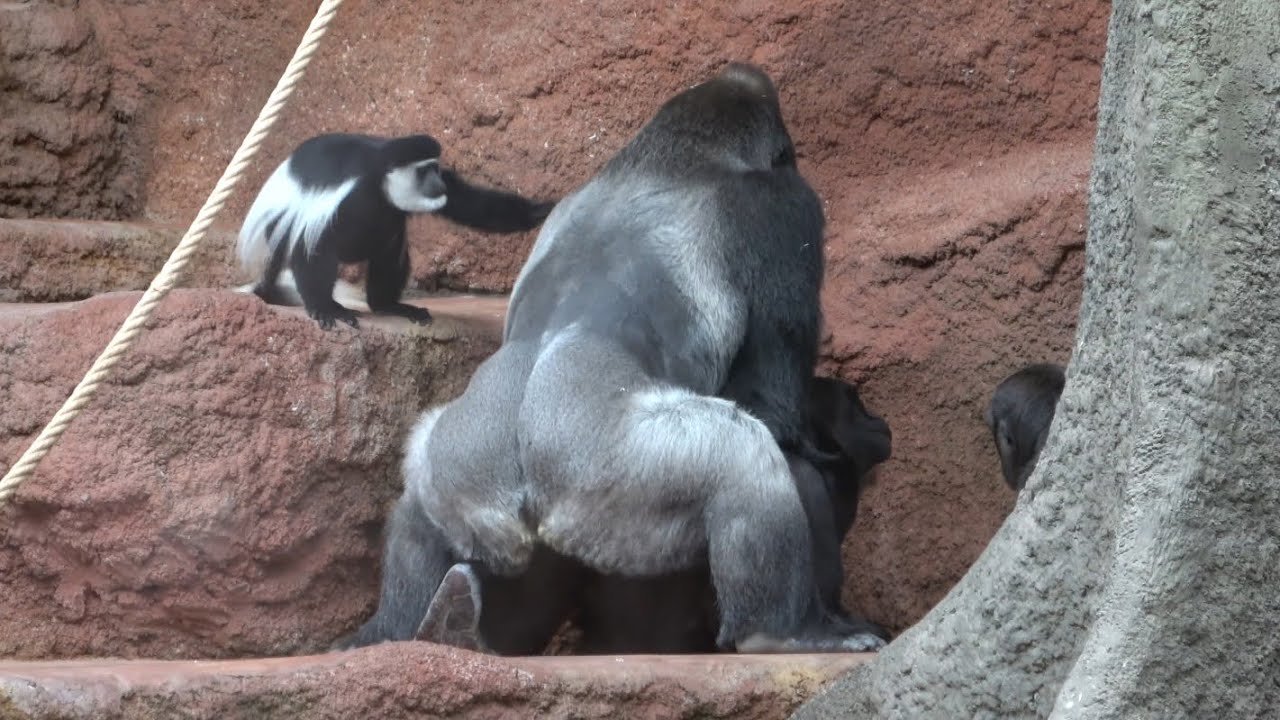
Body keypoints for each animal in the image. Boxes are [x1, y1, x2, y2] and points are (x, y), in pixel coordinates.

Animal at [236, 133, 555, 330]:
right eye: (424, 171)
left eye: (436, 168)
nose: (439, 183)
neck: (381, 183)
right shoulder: (349, 196)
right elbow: (312, 246)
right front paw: (325, 310)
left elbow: (471, 204)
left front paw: (542, 210)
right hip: (278, 227)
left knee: (390, 254)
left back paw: (388, 305)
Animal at [336, 62, 883, 656]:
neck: (679, 154)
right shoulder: (783, 209)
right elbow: (774, 400)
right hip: (605, 475)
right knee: (744, 453)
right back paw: (781, 631)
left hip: (457, 471)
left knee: (417, 498)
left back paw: (399, 628)